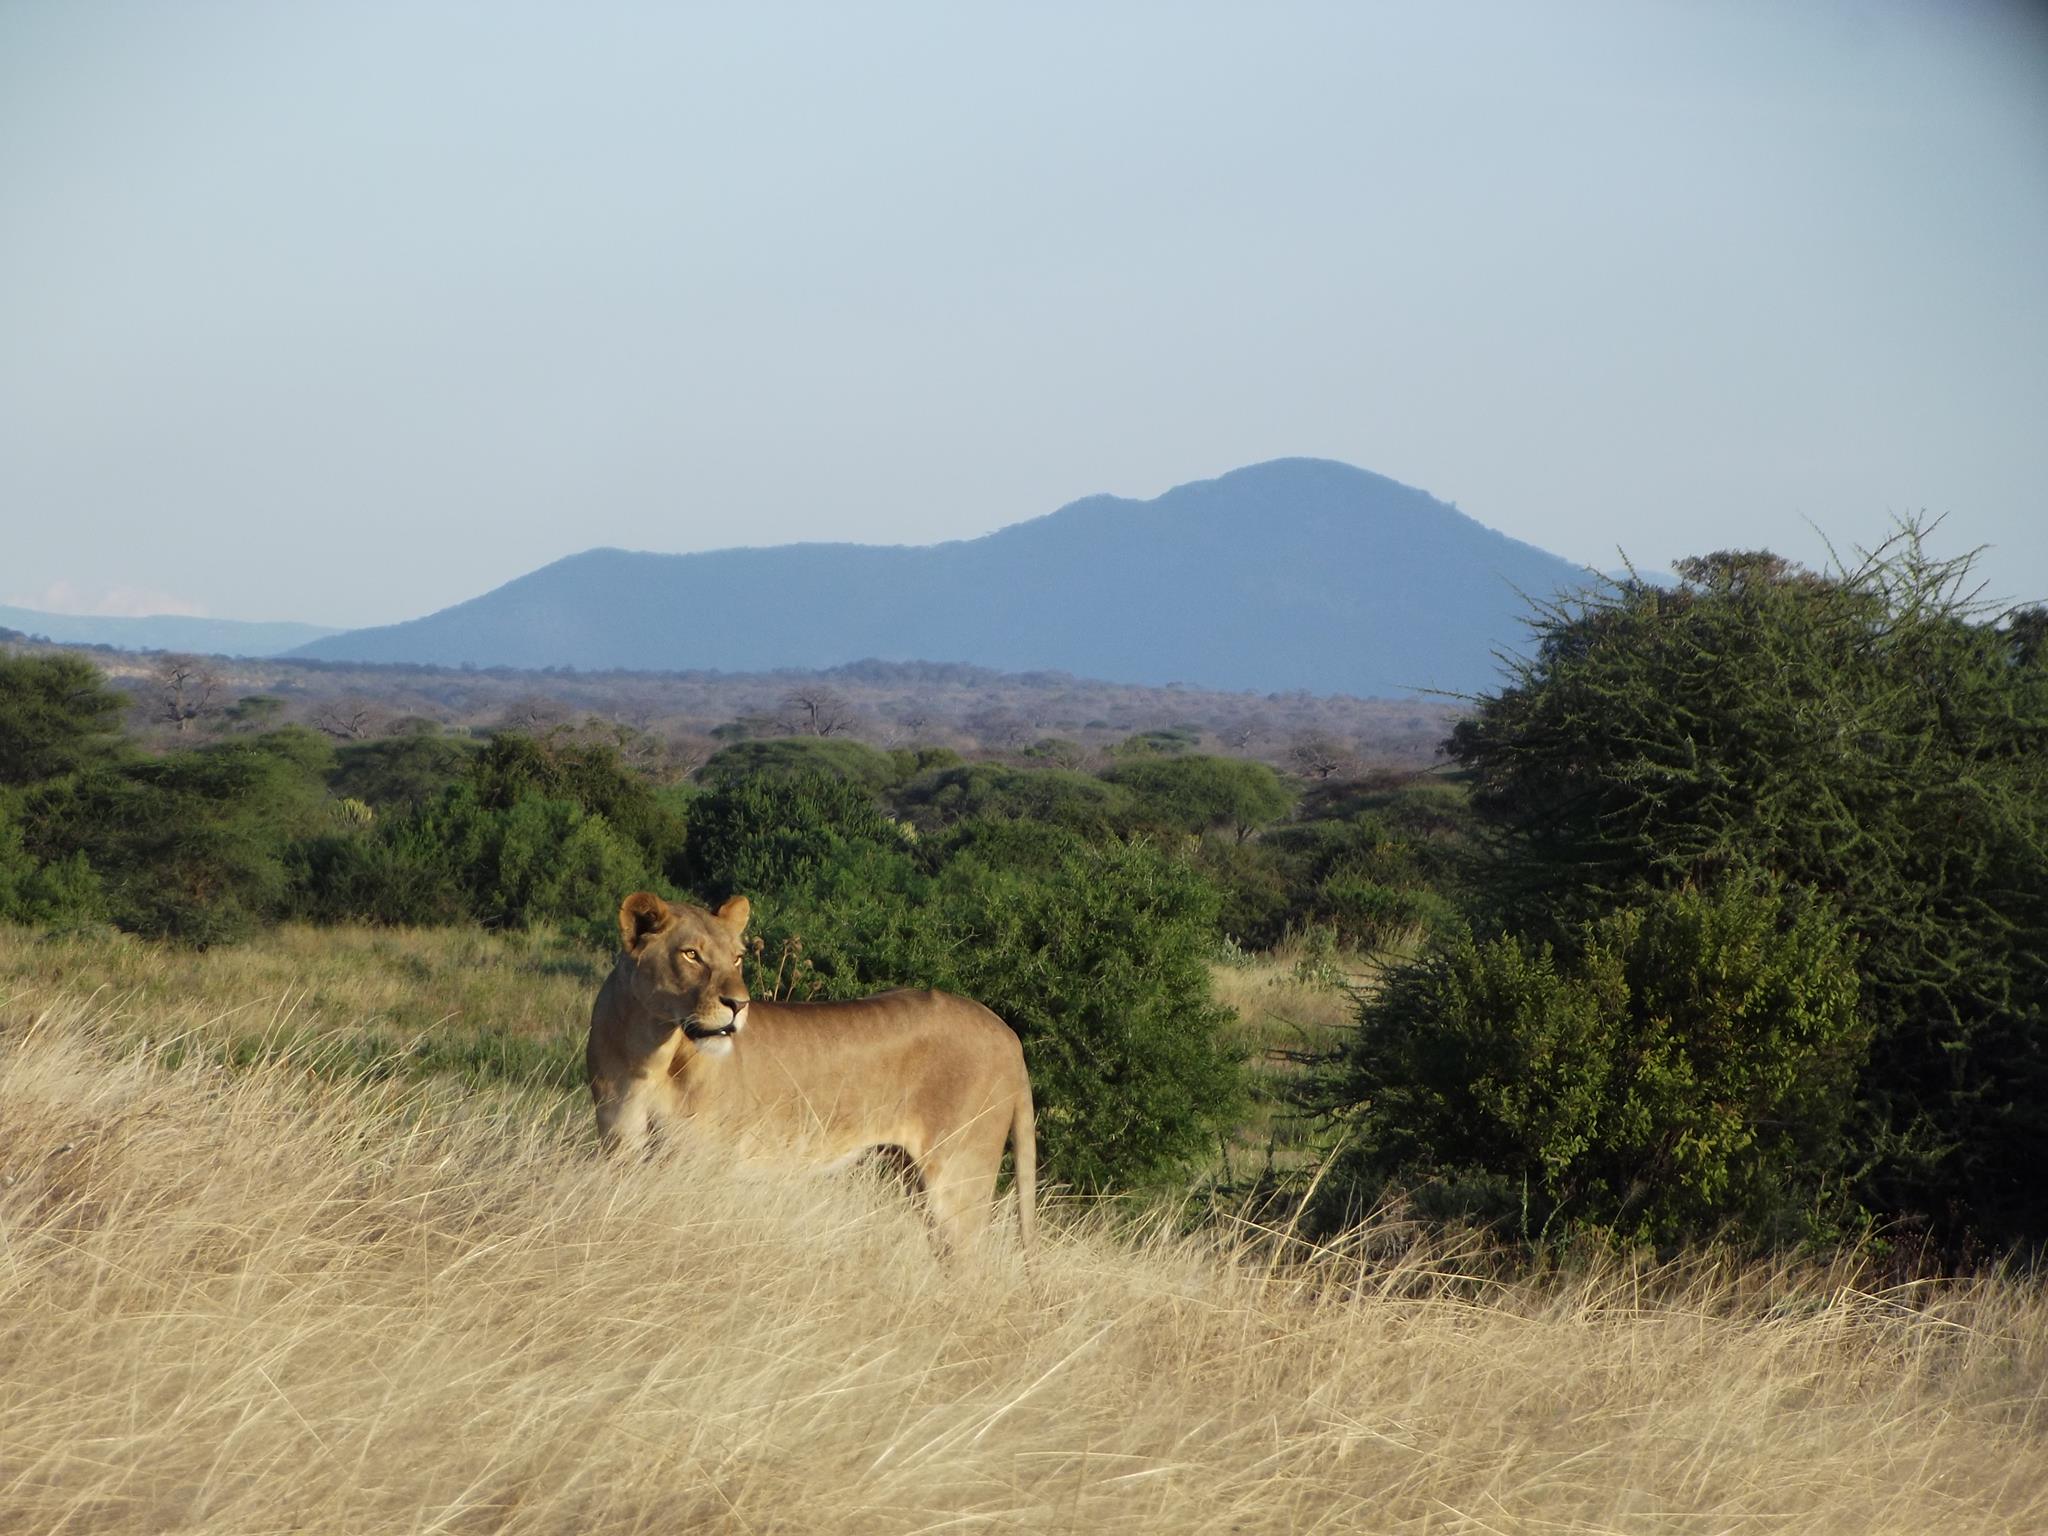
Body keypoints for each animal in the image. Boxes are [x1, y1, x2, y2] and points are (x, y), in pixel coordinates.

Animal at [586, 891, 1037, 1255]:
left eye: (736, 958)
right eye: (691, 955)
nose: (739, 1005)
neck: (648, 1052)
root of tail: (1008, 1035)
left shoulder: (698, 1166)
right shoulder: (618, 1147)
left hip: (958, 1180)